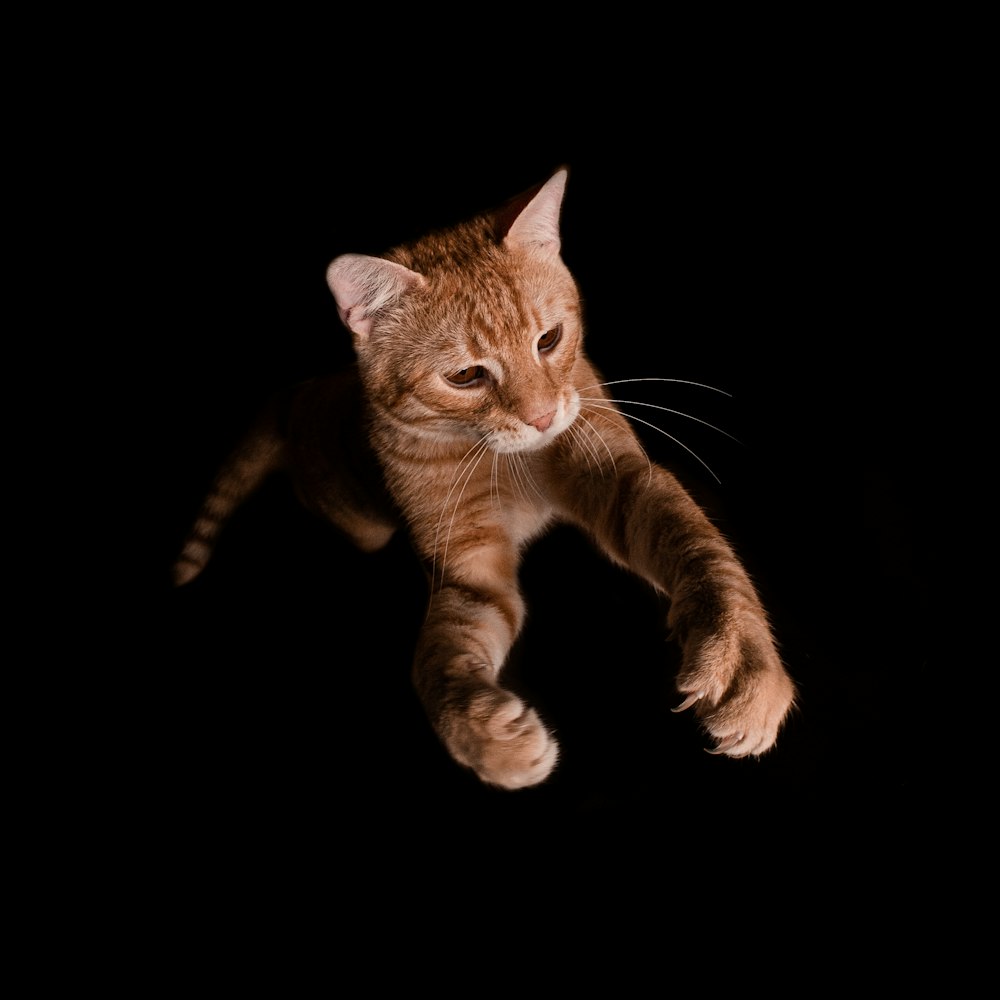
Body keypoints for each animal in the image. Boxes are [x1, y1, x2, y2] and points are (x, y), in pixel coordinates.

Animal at [174, 168, 796, 784]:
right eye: (465, 376)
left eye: (549, 340)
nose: (542, 417)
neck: (511, 461)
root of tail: (297, 395)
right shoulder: (468, 566)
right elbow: (438, 657)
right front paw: (483, 736)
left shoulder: (623, 481)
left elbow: (703, 554)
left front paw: (740, 661)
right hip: (362, 526)